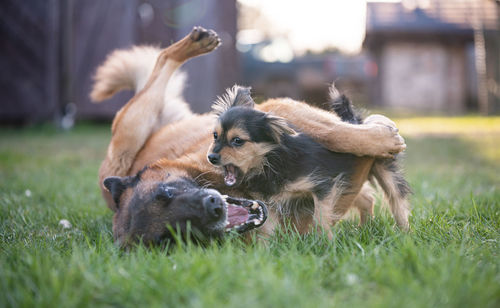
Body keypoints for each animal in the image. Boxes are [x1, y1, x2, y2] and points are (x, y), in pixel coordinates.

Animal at [207, 85, 410, 235]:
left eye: (237, 141)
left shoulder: (323, 186)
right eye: (215, 136)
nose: (211, 157)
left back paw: (404, 233)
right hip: (349, 181)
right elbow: (267, 230)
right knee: (367, 198)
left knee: (397, 200)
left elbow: (320, 218)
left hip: (383, 169)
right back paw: (365, 227)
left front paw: (325, 243)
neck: (271, 161)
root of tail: (354, 121)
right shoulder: (269, 204)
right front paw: (267, 249)